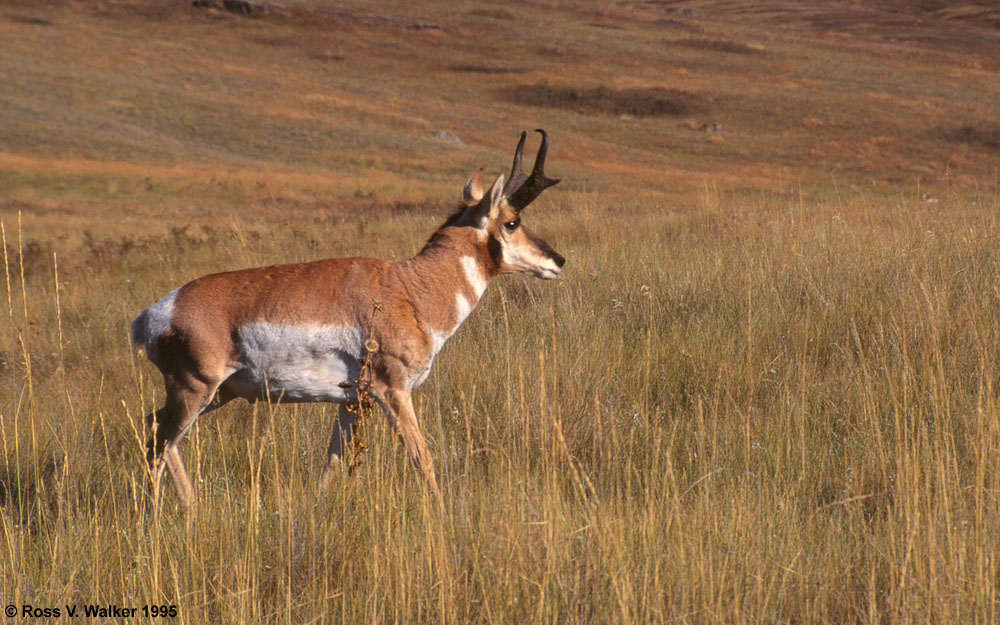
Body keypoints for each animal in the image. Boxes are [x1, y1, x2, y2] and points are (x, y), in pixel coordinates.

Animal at [130, 130, 568, 508]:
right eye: (511, 221)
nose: (558, 260)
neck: (410, 287)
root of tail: (157, 311)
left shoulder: (351, 401)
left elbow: (332, 467)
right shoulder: (393, 392)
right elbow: (422, 458)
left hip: (219, 393)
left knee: (154, 429)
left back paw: (190, 509)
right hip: (194, 391)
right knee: (158, 446)